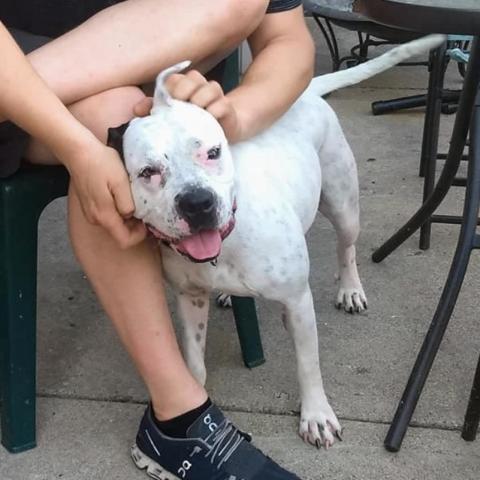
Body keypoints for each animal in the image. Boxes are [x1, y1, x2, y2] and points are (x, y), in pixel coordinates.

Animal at [108, 34, 442, 450]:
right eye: (148, 172)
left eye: (213, 152)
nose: (198, 203)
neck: (229, 242)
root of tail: (308, 90)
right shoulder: (190, 299)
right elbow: (193, 359)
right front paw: (193, 399)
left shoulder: (297, 300)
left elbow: (307, 363)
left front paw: (316, 415)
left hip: (343, 205)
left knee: (346, 248)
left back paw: (350, 289)